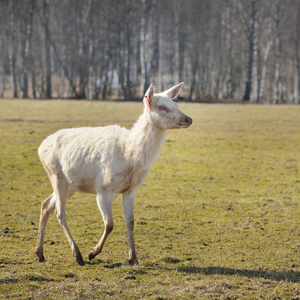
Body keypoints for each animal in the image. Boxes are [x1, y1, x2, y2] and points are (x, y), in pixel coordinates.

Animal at [35, 82, 193, 264]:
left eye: (176, 104)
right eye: (162, 107)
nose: (188, 119)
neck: (130, 157)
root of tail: (40, 147)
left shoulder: (131, 189)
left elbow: (130, 222)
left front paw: (133, 259)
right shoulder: (103, 188)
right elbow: (109, 224)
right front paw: (92, 252)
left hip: (71, 184)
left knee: (46, 204)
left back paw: (40, 253)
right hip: (56, 175)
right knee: (59, 212)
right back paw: (78, 255)